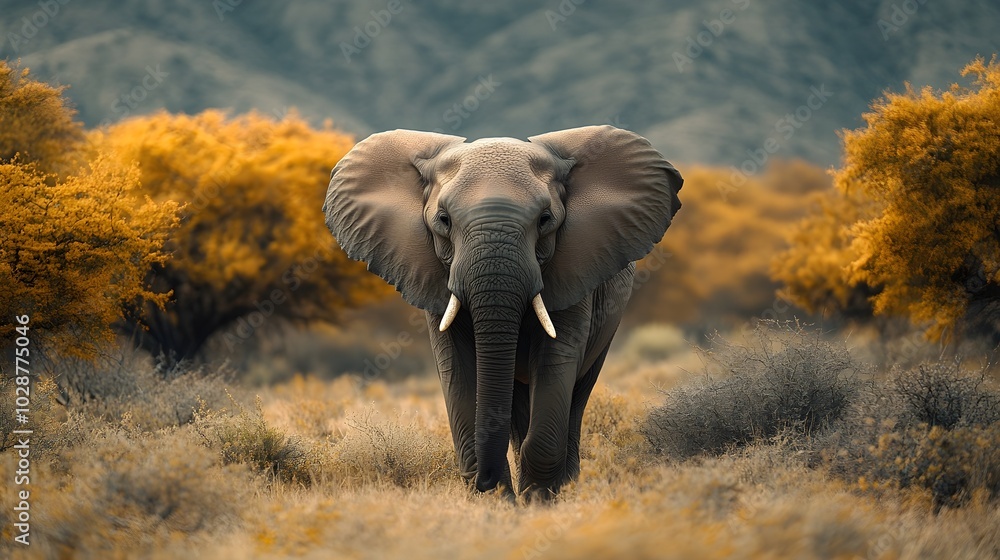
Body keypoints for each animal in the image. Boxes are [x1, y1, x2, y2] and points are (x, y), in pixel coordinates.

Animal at [323, 125, 682, 499]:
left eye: (545, 220)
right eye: (443, 220)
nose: (486, 481)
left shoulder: (575, 267)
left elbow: (557, 360)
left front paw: (536, 501)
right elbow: (457, 365)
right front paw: (499, 501)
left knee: (577, 394)